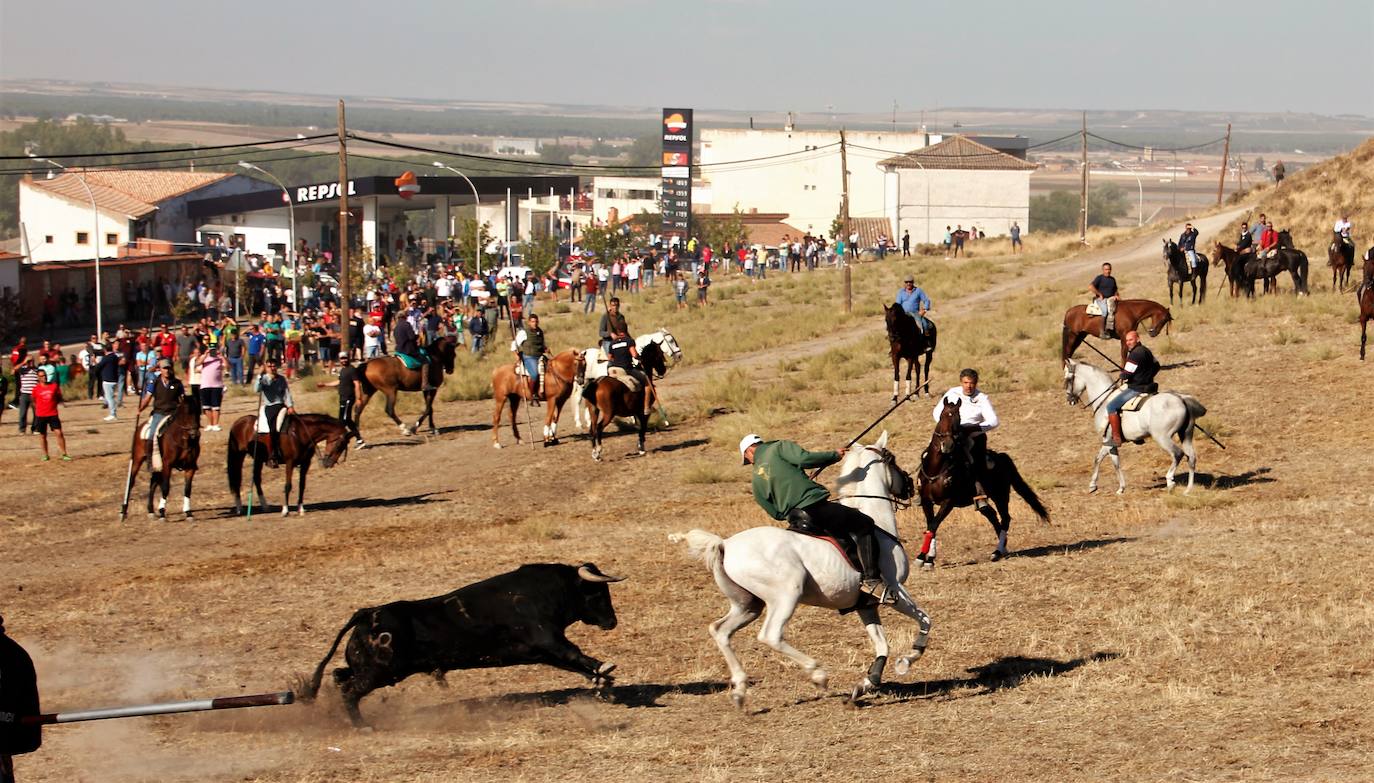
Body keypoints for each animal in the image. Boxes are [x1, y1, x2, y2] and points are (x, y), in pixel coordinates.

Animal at [300, 557, 629, 719]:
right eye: (598, 592)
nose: (611, 622)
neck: (545, 591)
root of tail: (367, 614)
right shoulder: (547, 639)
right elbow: (576, 654)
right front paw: (605, 671)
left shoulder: (539, 651)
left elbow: (575, 664)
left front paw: (603, 683)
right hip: (381, 671)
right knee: (349, 690)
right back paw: (363, 726)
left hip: (372, 668)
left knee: (339, 676)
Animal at [667, 428, 934, 703]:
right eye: (892, 460)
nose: (911, 486)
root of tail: (725, 544)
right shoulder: (895, 590)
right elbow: (925, 620)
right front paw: (906, 661)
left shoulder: (865, 604)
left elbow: (882, 644)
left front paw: (867, 683)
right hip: (786, 595)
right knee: (770, 635)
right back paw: (817, 673)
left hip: (748, 605)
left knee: (720, 631)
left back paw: (740, 689)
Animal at [1060, 357, 1203, 491]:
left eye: (1068, 379)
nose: (1069, 400)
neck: (1104, 400)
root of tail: (1180, 399)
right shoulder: (1110, 442)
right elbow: (1111, 461)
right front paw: (1119, 488)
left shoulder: (1108, 440)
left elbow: (1103, 460)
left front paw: (1094, 485)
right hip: (1186, 435)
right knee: (1191, 457)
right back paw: (1188, 489)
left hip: (1162, 438)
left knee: (1178, 454)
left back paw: (1170, 481)